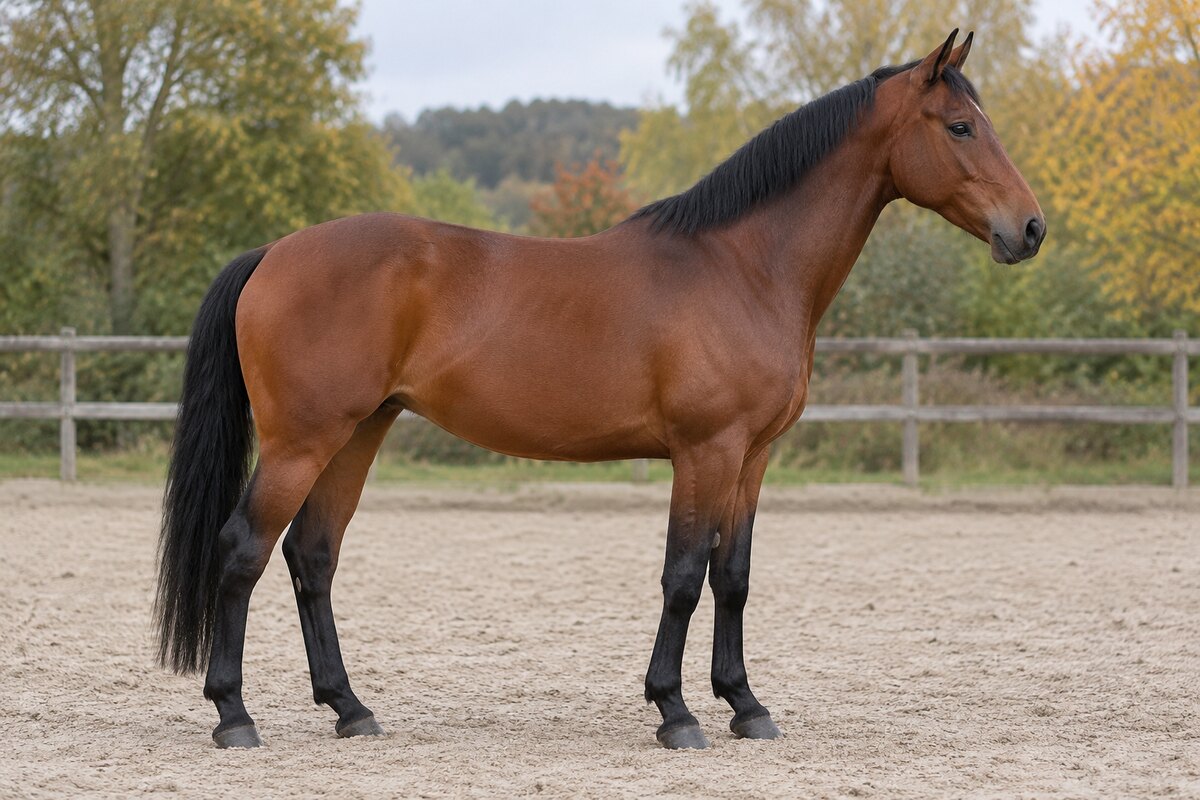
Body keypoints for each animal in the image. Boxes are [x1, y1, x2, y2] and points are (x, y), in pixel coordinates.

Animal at [155, 29, 1044, 750]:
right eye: (960, 127)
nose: (1030, 229)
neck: (744, 267)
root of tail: (274, 253)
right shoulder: (705, 451)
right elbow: (683, 577)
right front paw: (675, 712)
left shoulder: (752, 458)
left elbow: (733, 579)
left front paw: (745, 706)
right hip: (302, 442)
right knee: (243, 550)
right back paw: (234, 716)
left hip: (358, 433)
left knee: (312, 556)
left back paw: (350, 708)